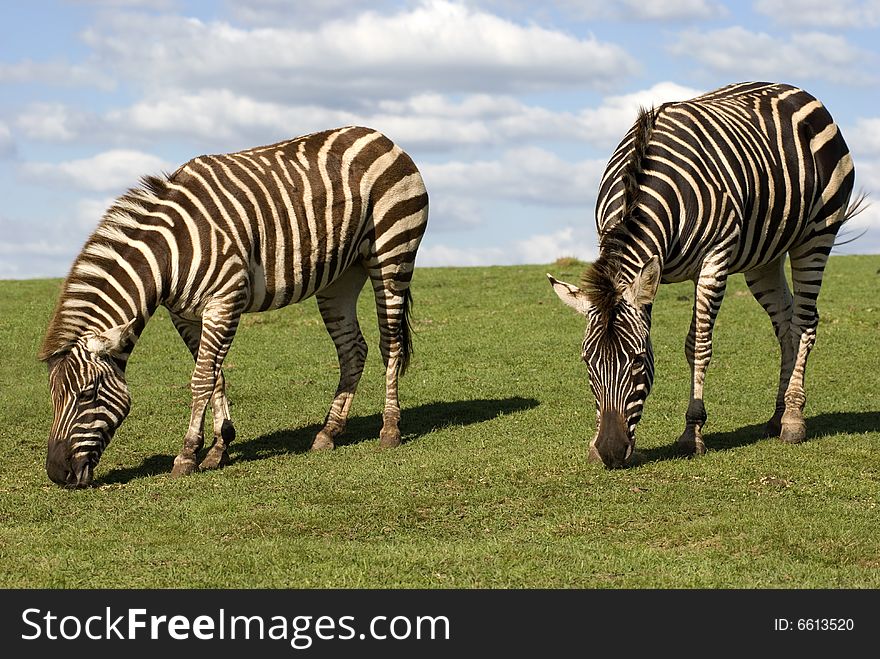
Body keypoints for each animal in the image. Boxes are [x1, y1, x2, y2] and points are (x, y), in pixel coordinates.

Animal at [37, 126, 430, 488]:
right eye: (54, 397)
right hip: (341, 277)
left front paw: (187, 455)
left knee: (390, 343)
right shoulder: (185, 314)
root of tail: (379, 136)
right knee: (353, 349)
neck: (169, 256)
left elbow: (200, 379)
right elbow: (215, 375)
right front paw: (218, 447)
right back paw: (328, 433)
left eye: (87, 394)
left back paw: (390, 429)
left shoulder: (225, 300)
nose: (57, 474)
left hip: (392, 252)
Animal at [548, 81, 864, 470]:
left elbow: (697, 345)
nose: (609, 450)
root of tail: (795, 89)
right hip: (764, 257)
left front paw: (692, 433)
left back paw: (793, 421)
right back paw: (777, 416)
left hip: (817, 235)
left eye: (637, 360)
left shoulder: (715, 261)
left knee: (804, 322)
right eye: (587, 362)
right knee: (785, 323)